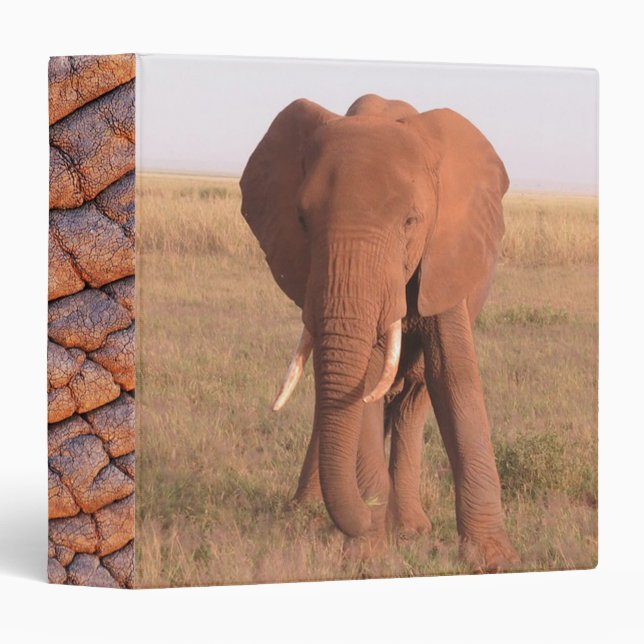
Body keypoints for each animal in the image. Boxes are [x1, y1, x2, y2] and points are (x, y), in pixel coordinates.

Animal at [239, 94, 519, 572]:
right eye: (302, 219)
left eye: (411, 221)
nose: (370, 510)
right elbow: (362, 380)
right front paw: (367, 553)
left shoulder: (444, 258)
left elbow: (455, 377)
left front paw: (495, 560)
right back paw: (305, 511)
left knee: (412, 401)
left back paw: (409, 527)